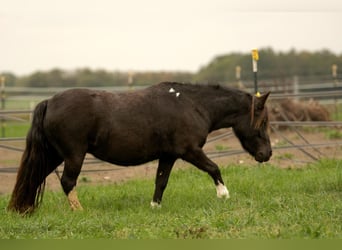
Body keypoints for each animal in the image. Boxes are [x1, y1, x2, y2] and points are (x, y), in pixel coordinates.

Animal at [6, 81, 272, 213]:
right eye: (262, 121)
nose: (267, 154)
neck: (192, 104)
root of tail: (50, 101)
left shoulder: (169, 156)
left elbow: (161, 181)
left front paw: (154, 207)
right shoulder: (190, 151)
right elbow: (214, 168)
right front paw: (223, 195)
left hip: (53, 155)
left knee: (34, 178)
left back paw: (24, 209)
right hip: (73, 155)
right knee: (67, 182)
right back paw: (79, 211)